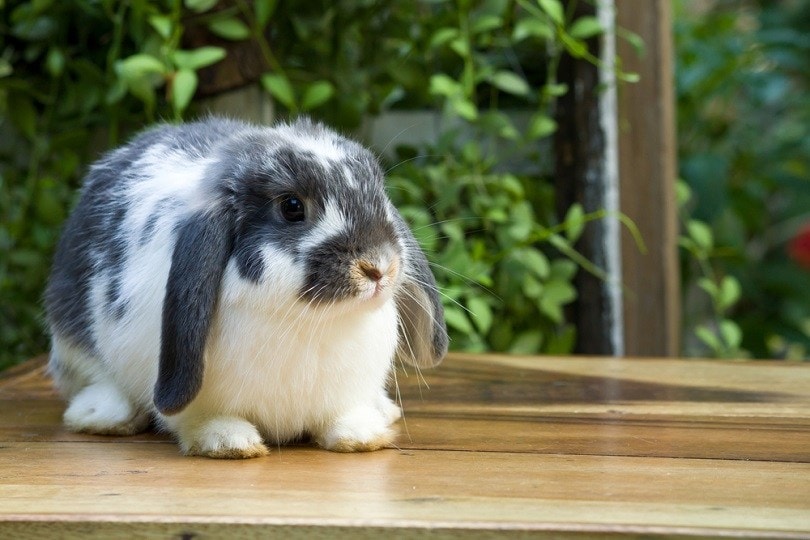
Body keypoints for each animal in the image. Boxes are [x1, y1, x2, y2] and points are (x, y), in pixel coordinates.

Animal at [44, 116, 447, 458]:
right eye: (291, 207)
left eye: (379, 196)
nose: (379, 266)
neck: (310, 322)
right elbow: (201, 418)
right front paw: (228, 441)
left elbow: (342, 416)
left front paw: (361, 435)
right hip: (72, 339)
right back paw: (102, 415)